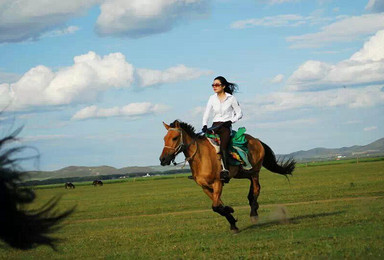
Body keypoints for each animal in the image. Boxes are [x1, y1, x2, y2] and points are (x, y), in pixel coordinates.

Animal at [158, 120, 294, 232]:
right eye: (164, 139)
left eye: (175, 138)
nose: (163, 159)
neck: (201, 157)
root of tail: (256, 140)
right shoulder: (205, 187)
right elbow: (219, 205)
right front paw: (232, 221)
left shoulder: (217, 182)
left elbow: (216, 206)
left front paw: (230, 212)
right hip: (243, 172)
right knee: (252, 187)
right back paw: (252, 204)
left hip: (255, 171)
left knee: (256, 188)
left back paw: (254, 213)